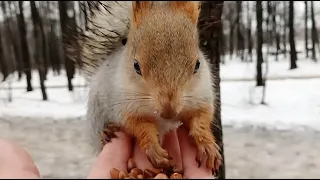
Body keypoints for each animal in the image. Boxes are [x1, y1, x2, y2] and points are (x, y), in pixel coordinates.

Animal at [78, 0, 222, 174]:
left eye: (197, 65)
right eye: (136, 65)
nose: (169, 111)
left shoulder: (200, 98)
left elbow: (200, 120)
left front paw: (207, 146)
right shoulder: (126, 107)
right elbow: (140, 127)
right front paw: (153, 149)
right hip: (96, 115)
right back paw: (106, 132)